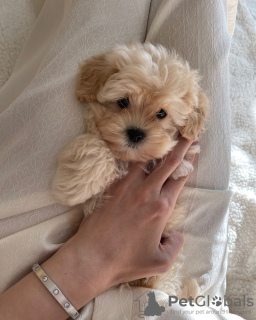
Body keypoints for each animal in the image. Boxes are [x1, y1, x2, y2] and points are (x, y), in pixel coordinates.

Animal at [51, 42, 208, 298]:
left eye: (162, 113)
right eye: (123, 102)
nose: (135, 133)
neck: (128, 159)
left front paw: (175, 163)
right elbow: (97, 147)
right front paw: (72, 187)